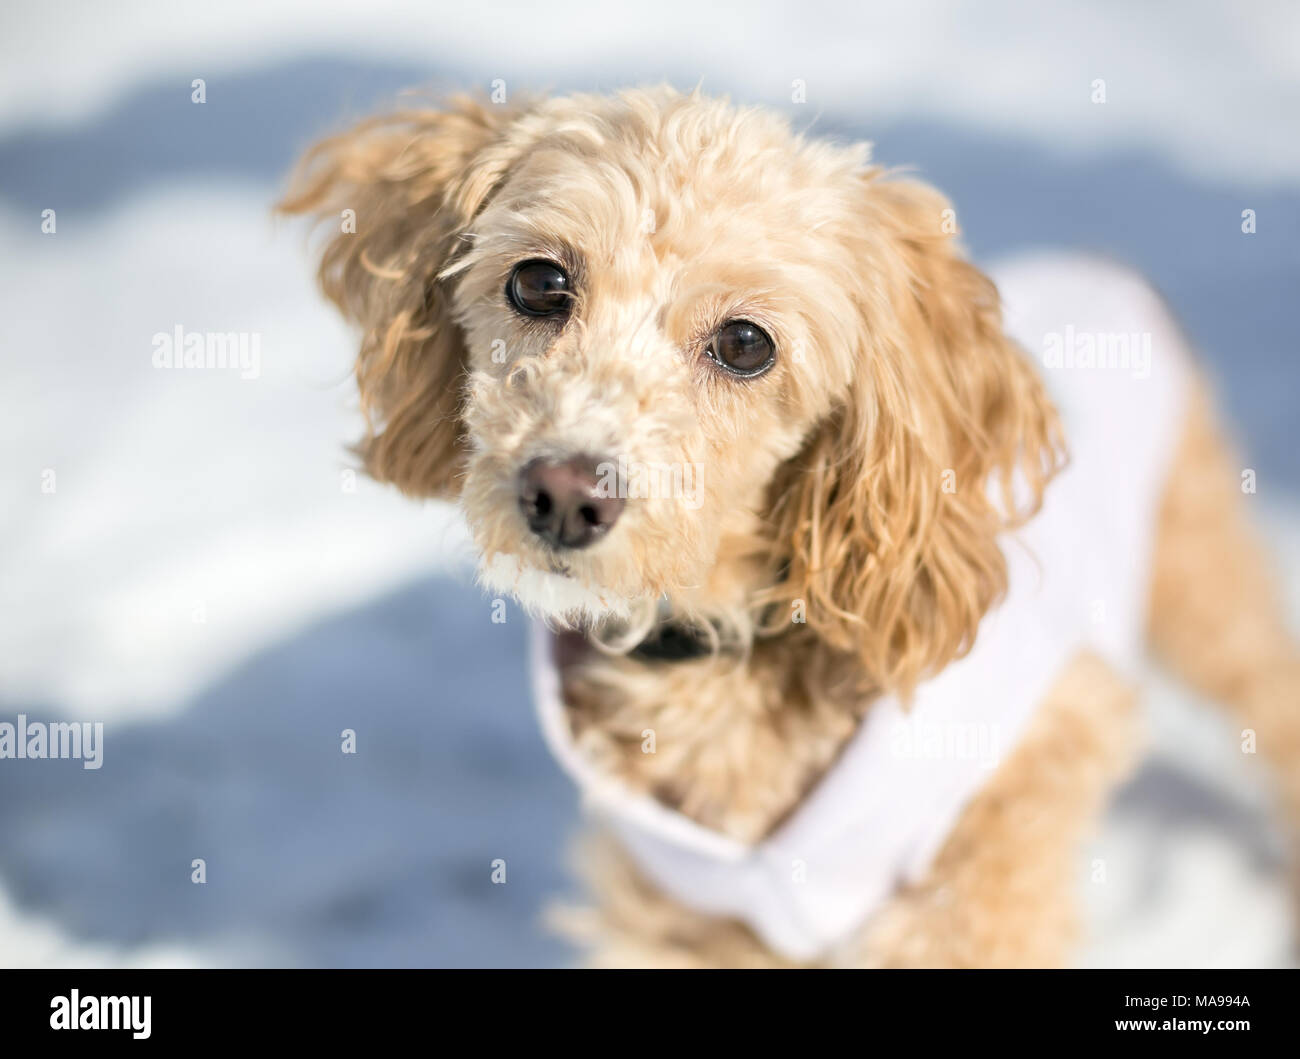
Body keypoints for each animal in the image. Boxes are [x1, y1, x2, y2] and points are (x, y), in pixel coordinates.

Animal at [282, 87, 1300, 966]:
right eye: (537, 282)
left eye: (745, 343)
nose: (566, 492)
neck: (726, 649)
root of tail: (1104, 265)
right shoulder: (685, 914)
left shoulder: (1007, 817)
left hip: (1197, 569)